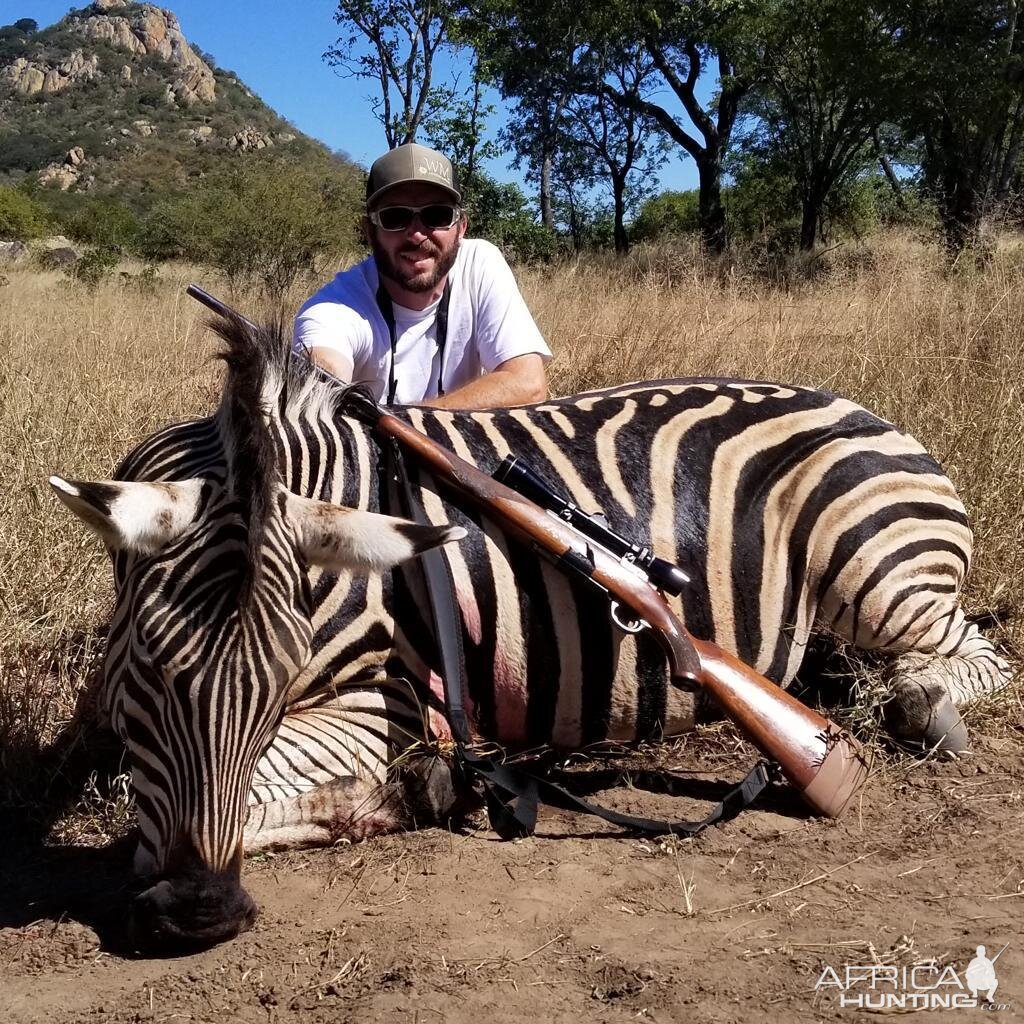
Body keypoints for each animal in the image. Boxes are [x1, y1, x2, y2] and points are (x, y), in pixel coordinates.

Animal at [46, 317, 1007, 950]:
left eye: (278, 679)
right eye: (150, 665)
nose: (199, 913)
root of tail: (869, 412)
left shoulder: (388, 702)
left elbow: (196, 804)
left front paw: (422, 788)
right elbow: (111, 769)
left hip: (877, 572)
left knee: (969, 656)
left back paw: (921, 710)